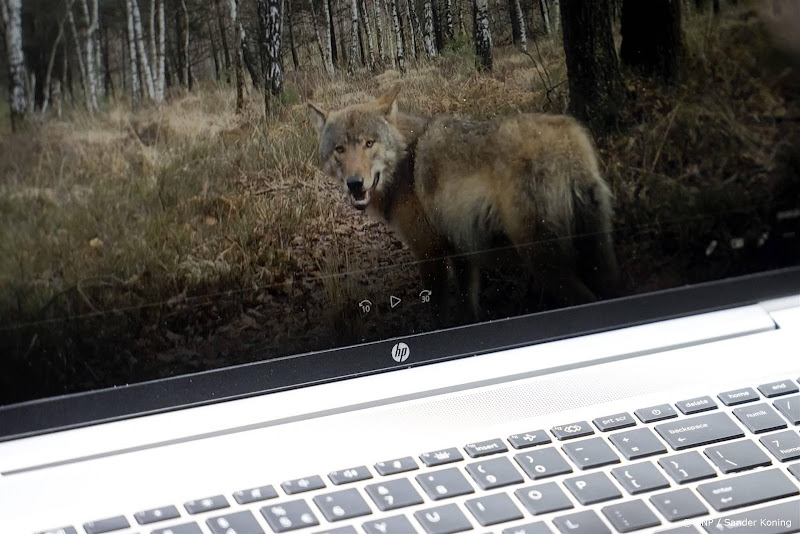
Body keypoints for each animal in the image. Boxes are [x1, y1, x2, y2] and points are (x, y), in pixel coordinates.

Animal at [308, 86, 620, 317]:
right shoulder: (461, 251)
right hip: (597, 260)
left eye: (369, 143)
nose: (354, 183)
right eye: (340, 149)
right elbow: (468, 308)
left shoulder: (429, 253)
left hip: (545, 264)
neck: (404, 163)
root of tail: (569, 141)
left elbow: (438, 312)